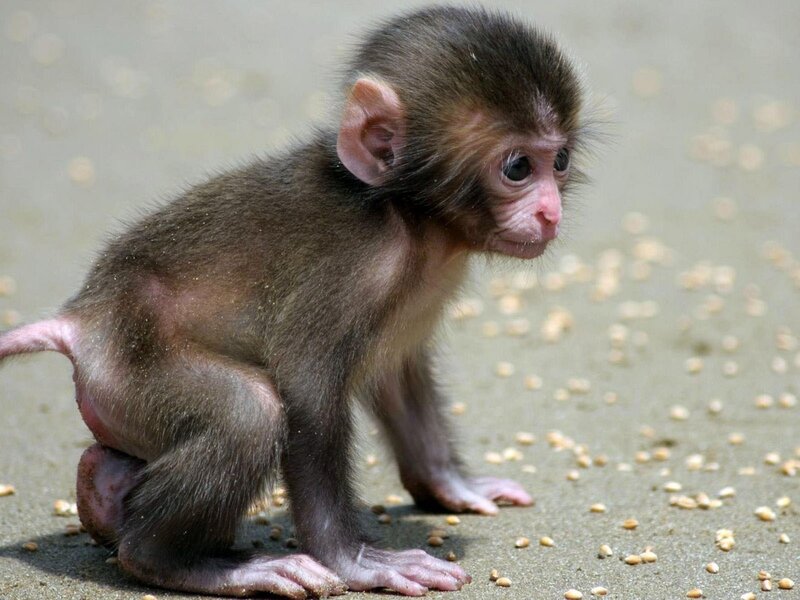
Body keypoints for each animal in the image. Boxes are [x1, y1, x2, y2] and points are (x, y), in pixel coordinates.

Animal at [0, 6, 589, 598]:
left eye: (559, 160)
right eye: (518, 168)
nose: (551, 213)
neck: (410, 217)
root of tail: (82, 319)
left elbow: (396, 375)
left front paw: (450, 485)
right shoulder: (354, 269)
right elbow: (307, 390)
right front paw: (355, 561)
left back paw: (101, 492)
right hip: (130, 365)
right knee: (248, 413)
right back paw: (180, 562)